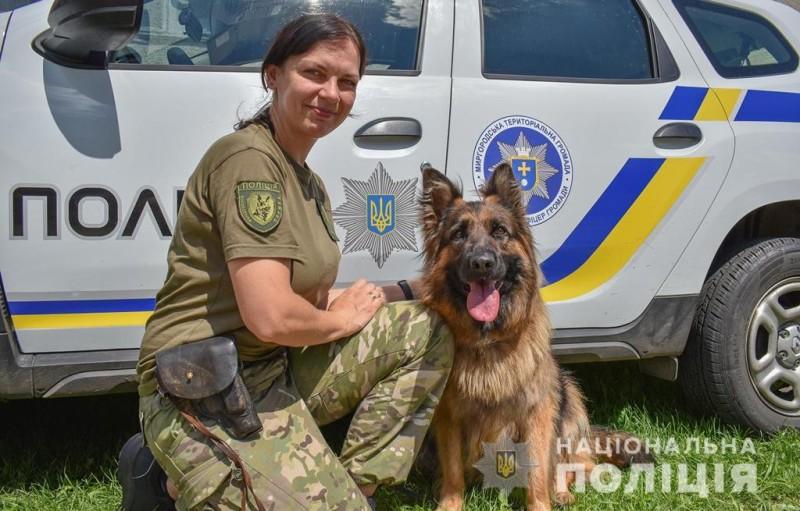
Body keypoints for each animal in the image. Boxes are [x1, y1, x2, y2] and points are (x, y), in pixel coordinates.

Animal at [418, 166, 648, 510]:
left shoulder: (538, 411)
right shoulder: (448, 415)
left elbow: (539, 471)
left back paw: (562, 492)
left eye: (499, 231)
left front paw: (541, 503)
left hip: (567, 394)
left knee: (576, 464)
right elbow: (453, 470)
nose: (482, 263)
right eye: (458, 234)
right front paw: (449, 504)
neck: (489, 342)